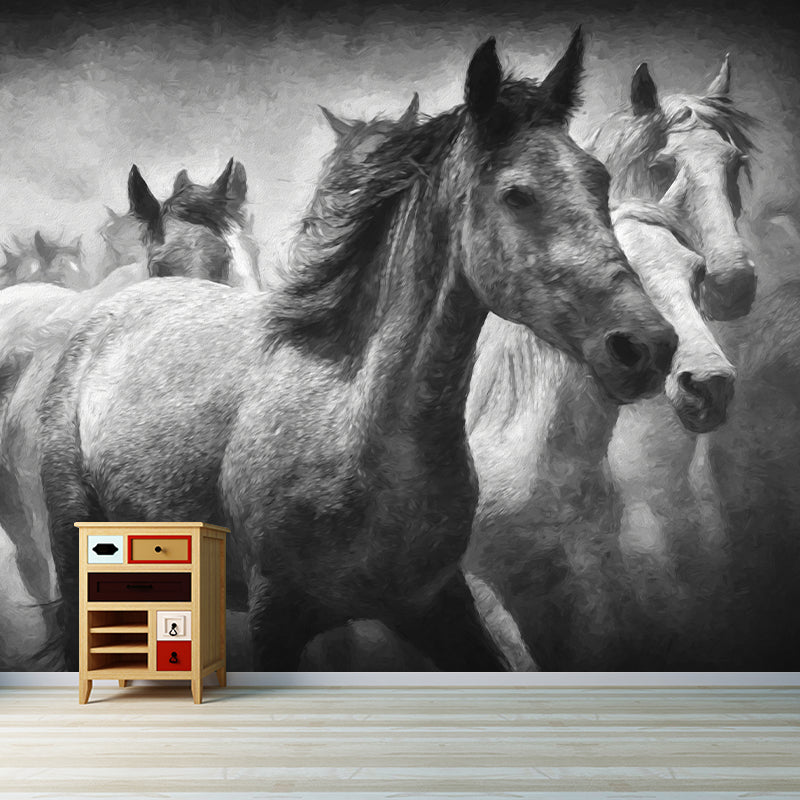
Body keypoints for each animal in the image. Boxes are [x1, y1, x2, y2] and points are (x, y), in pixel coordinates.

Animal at [39, 30, 678, 672]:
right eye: (517, 194)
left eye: (599, 180)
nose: (646, 345)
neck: (358, 426)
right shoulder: (276, 621)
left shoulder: (437, 606)